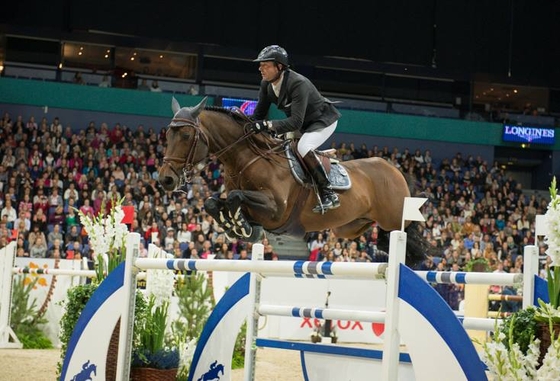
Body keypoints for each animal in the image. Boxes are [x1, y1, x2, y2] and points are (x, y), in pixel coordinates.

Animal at [159, 96, 428, 266]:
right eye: (167, 134)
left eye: (186, 135)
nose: (166, 180)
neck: (247, 159)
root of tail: (393, 168)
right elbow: (212, 202)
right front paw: (234, 225)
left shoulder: (276, 211)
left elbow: (236, 197)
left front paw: (240, 225)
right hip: (350, 226)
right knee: (380, 235)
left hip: (393, 217)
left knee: (405, 233)